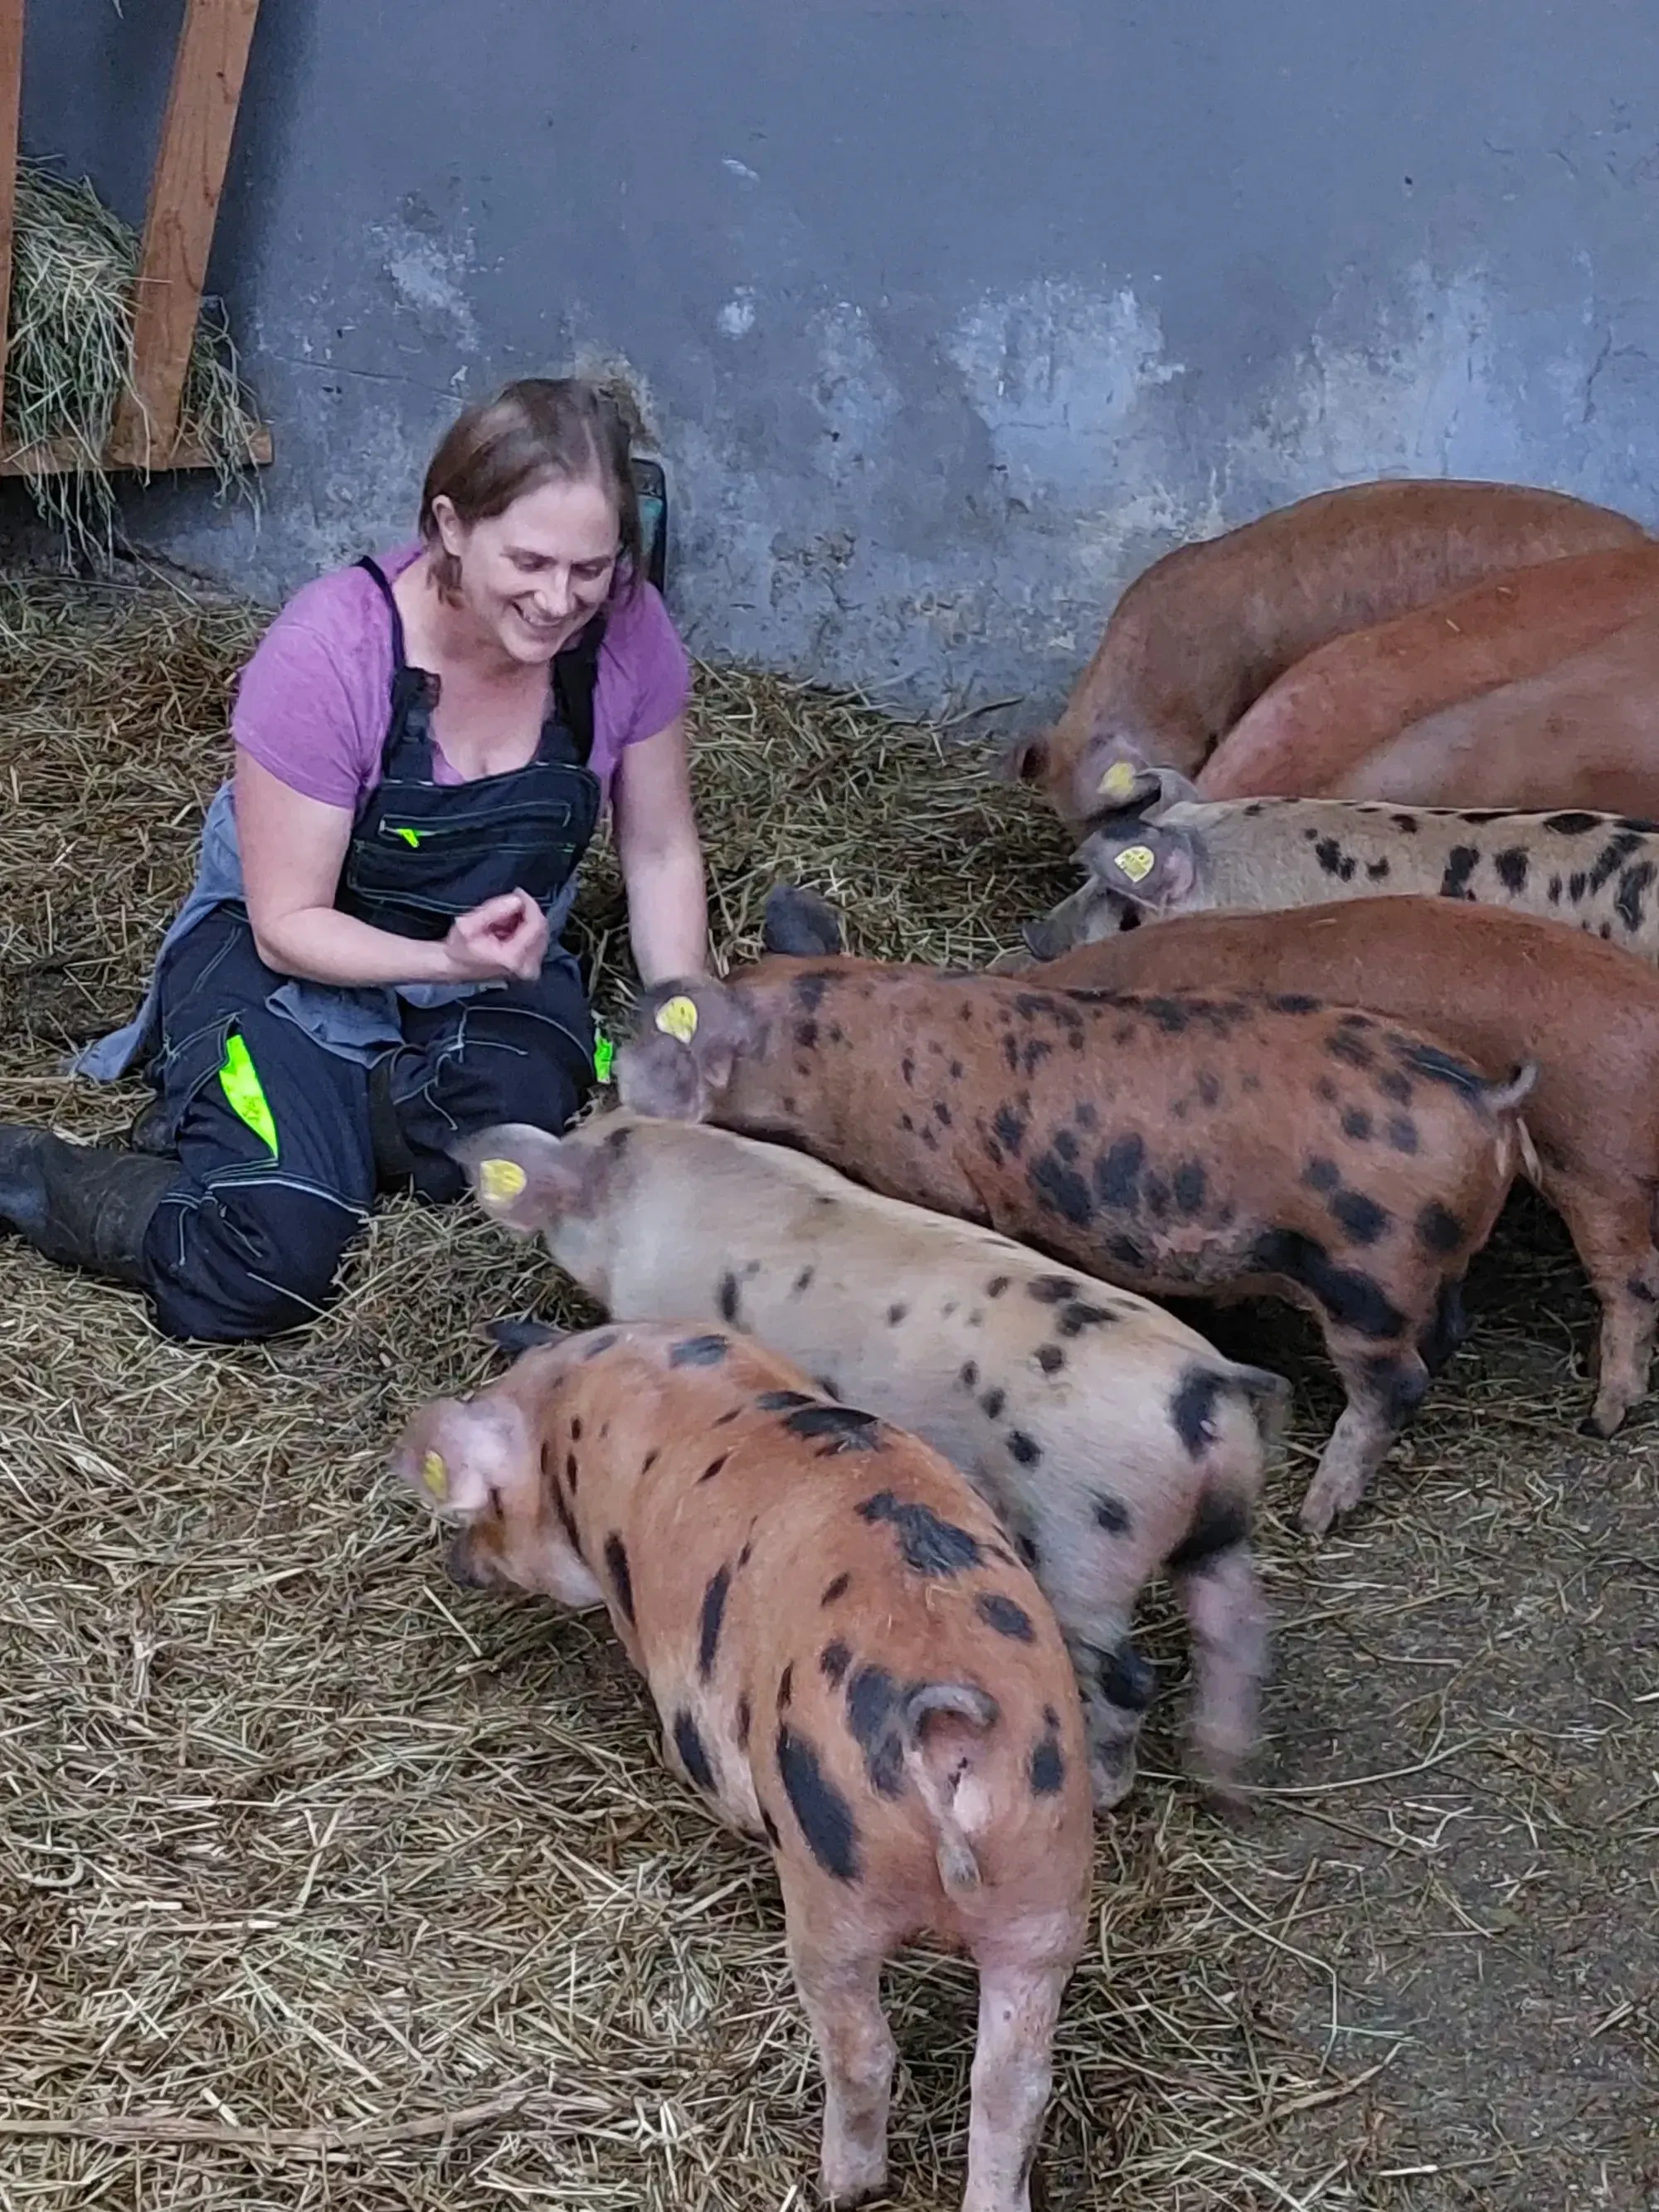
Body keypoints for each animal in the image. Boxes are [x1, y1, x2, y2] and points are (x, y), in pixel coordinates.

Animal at [462, 1115, 1292, 1805]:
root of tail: (1205, 1381)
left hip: (1085, 1541)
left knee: (1129, 1674)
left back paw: (1106, 1788)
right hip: (1216, 1526)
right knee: (1238, 1626)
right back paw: (1222, 1779)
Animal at [619, 884, 1540, 1539]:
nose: (621, 1082)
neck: (836, 1045)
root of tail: (1484, 1095)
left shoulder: (940, 1183)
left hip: (1366, 1274)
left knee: (1396, 1382)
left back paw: (1318, 1513)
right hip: (1430, 1265)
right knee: (1447, 1329)